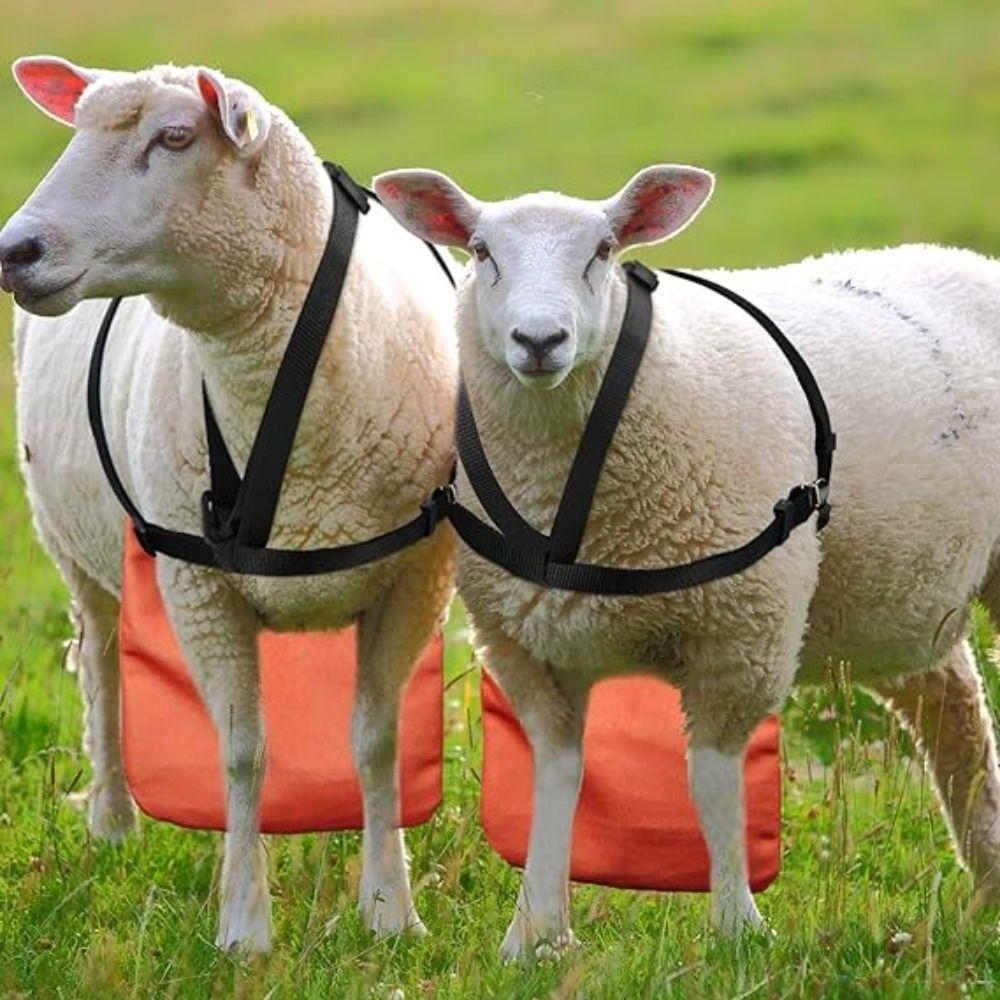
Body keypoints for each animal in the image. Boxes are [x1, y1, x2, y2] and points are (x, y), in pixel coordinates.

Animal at [1, 57, 457, 953]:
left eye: (176, 137)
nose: (14, 251)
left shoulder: (414, 580)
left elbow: (377, 741)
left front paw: (389, 912)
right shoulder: (201, 588)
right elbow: (244, 749)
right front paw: (244, 925)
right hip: (79, 555)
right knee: (102, 671)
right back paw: (113, 825)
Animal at [374, 164, 1000, 958]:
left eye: (604, 249)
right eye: (481, 252)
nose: (540, 340)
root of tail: (964, 258)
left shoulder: (741, 634)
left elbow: (711, 781)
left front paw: (737, 928)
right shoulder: (526, 643)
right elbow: (558, 775)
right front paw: (536, 934)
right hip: (899, 593)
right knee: (955, 717)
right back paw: (987, 885)